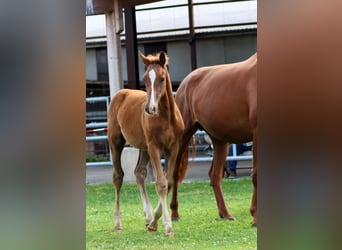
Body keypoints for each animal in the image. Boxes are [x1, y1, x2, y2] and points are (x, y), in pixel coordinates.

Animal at [109, 51, 184, 236]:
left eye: (162, 78)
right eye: (144, 78)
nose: (150, 109)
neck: (166, 118)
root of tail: (120, 93)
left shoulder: (173, 148)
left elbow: (169, 182)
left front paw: (154, 223)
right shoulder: (154, 148)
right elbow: (161, 184)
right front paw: (167, 226)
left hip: (143, 147)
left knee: (139, 173)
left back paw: (149, 217)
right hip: (116, 142)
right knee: (118, 176)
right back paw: (118, 222)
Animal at [171, 52, 256, 227]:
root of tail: (185, 83)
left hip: (219, 141)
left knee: (215, 175)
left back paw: (225, 214)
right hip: (183, 137)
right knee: (175, 172)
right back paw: (174, 214)